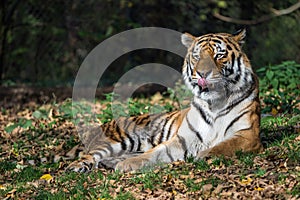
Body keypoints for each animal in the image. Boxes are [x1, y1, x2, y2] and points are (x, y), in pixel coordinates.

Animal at [67, 28, 262, 173]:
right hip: (115, 140)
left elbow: (223, 146)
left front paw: (204, 155)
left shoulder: (247, 134)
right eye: (197, 56)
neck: (215, 103)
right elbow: (155, 152)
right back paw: (76, 167)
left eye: (219, 55)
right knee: (90, 155)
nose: (202, 73)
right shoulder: (183, 138)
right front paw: (127, 165)